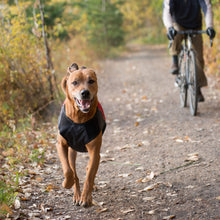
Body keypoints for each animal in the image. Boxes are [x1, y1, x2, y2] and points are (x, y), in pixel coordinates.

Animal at [56, 62, 105, 207]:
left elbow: (89, 176)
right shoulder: (61, 145)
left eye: (91, 81)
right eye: (75, 82)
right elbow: (68, 170)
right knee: (73, 170)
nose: (85, 92)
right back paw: (76, 193)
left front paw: (86, 198)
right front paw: (67, 183)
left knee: (89, 170)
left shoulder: (94, 151)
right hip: (72, 151)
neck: (78, 119)